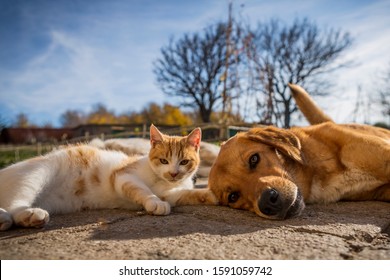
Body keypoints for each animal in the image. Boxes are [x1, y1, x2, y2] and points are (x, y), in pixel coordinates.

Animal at [0, 124, 218, 230]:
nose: (173, 173)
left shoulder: (173, 193)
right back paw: (28, 215)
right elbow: (143, 190)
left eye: (184, 162)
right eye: (163, 160)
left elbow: (186, 194)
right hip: (37, 173)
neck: (162, 181)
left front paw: (211, 195)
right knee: (15, 203)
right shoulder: (123, 176)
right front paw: (154, 202)